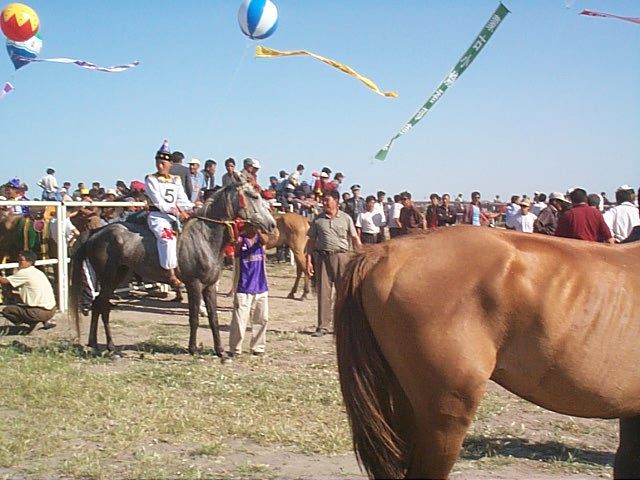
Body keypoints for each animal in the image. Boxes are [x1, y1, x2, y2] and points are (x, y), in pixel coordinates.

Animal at [69, 178, 276, 354]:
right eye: (254, 196)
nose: (272, 225)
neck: (204, 237)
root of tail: (97, 232)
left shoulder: (209, 286)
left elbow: (214, 318)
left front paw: (220, 352)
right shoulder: (194, 285)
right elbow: (193, 317)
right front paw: (193, 349)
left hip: (118, 275)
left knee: (100, 304)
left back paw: (100, 345)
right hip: (108, 277)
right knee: (101, 305)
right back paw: (105, 346)